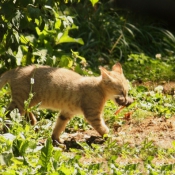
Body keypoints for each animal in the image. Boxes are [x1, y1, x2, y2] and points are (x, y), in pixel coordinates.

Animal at [0, 63, 133, 142]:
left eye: (127, 92)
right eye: (121, 91)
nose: (127, 101)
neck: (98, 88)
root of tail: (15, 70)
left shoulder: (66, 112)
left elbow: (58, 126)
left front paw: (56, 140)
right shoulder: (93, 115)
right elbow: (102, 128)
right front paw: (110, 137)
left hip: (28, 101)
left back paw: (32, 121)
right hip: (20, 102)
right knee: (8, 115)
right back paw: (7, 132)